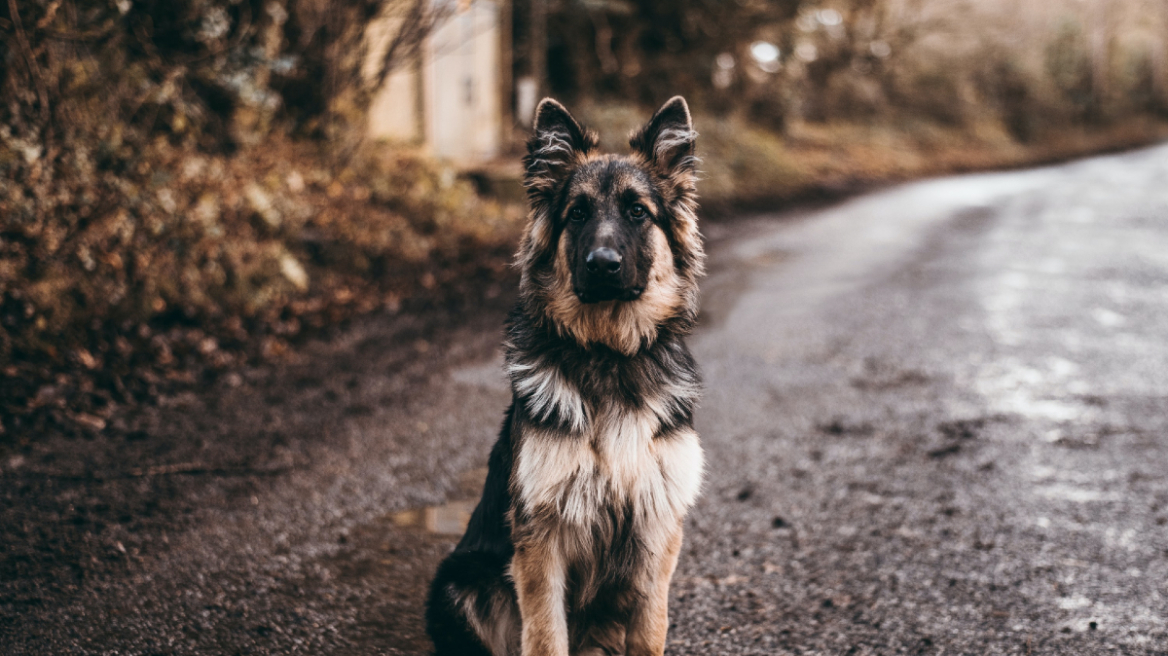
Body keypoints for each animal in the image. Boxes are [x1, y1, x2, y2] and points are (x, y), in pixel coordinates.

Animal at [427, 96, 700, 653]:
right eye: (577, 213)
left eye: (638, 211)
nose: (602, 264)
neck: (609, 354)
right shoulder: (541, 540)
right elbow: (547, 635)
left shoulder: (657, 531)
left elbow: (650, 631)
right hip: (459, 582)